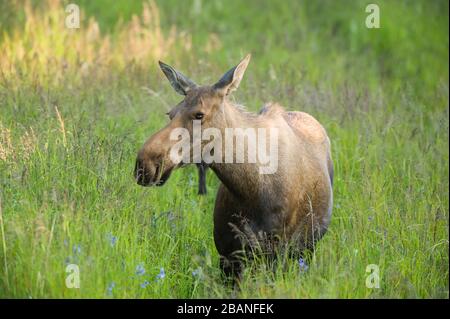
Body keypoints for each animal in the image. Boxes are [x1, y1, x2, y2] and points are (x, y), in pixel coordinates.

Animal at [135, 54, 332, 278]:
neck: (249, 191)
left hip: (305, 250)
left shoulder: (274, 253)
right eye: (170, 113)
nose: (144, 163)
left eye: (199, 114)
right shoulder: (227, 252)